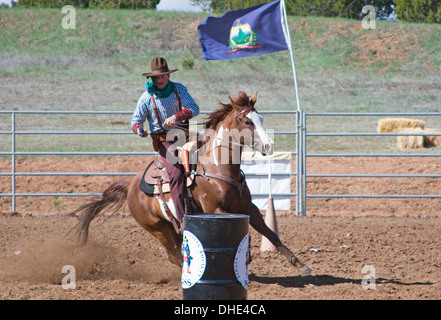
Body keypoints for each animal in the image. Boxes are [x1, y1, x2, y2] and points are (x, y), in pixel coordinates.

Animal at [69, 91, 310, 276]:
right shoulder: (215, 210)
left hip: (174, 225)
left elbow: (271, 234)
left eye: (261, 119)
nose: (269, 146)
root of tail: (131, 186)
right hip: (157, 228)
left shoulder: (248, 208)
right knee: (173, 255)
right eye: (248, 121)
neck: (217, 168)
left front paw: (301, 265)